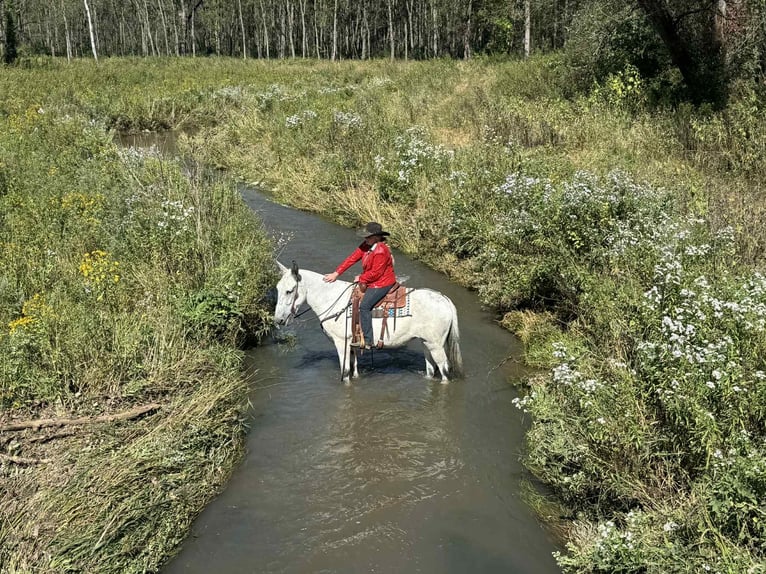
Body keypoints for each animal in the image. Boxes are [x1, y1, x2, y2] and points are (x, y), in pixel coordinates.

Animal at [273, 261, 463, 383]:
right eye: (277, 288)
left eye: (290, 291)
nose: (279, 320)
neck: (331, 298)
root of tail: (445, 299)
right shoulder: (351, 343)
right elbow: (354, 367)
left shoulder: (341, 342)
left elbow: (345, 372)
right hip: (426, 343)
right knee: (431, 369)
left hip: (436, 345)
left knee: (444, 370)